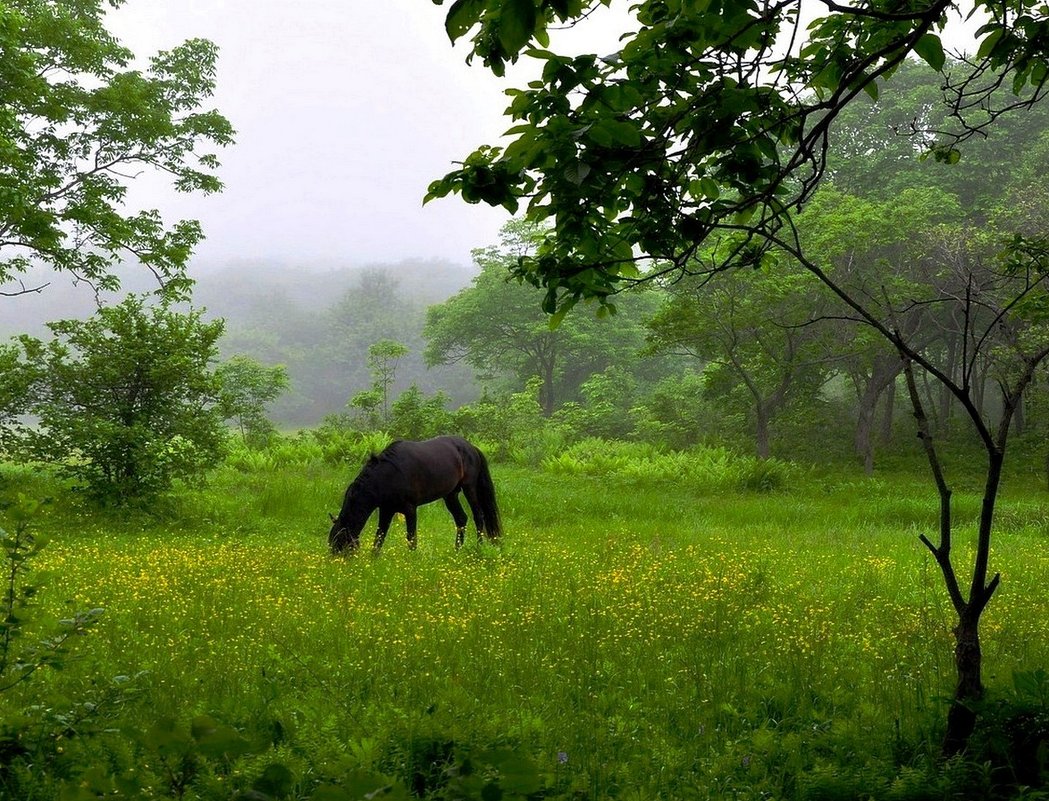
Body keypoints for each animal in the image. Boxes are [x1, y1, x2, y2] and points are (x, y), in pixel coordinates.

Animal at [331, 434, 503, 553]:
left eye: (338, 542)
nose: (336, 566)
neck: (389, 475)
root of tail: (471, 447)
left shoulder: (410, 509)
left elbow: (411, 538)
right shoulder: (386, 510)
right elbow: (379, 537)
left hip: (469, 488)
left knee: (478, 516)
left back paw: (479, 547)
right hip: (450, 494)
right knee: (461, 518)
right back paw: (457, 550)